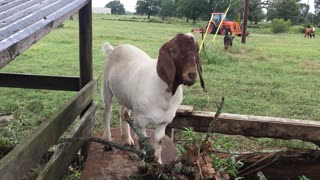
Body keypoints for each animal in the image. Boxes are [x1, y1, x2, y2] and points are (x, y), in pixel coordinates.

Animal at [102, 33, 205, 164]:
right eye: (173, 50)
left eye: (196, 50)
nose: (192, 74)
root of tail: (112, 49)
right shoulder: (140, 120)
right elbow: (142, 141)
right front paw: (143, 163)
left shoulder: (164, 121)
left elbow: (159, 141)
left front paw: (158, 163)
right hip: (106, 86)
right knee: (107, 112)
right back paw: (107, 141)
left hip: (127, 97)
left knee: (123, 112)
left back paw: (127, 139)